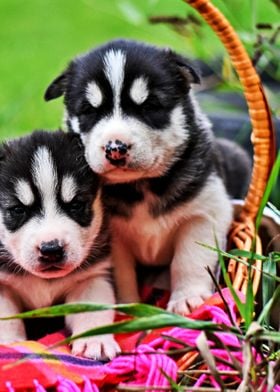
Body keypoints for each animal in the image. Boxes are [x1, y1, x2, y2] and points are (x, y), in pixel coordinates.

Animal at [0, 130, 120, 360]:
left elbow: (92, 310)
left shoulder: (92, 277)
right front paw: (8, 344)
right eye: (18, 210)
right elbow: (6, 317)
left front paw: (96, 340)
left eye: (76, 205)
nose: (51, 250)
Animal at [45, 39, 252, 316]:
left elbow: (190, 258)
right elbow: (122, 274)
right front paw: (128, 307)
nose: (115, 148)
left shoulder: (205, 212)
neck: (140, 186)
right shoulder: (111, 238)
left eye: (149, 106)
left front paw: (188, 298)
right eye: (89, 110)